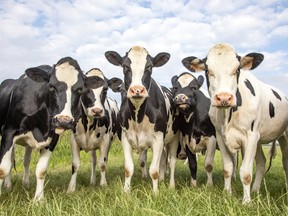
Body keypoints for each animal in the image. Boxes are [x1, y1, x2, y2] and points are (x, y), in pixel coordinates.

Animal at [0, 57, 86, 201]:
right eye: (51, 86)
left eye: (80, 89)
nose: (64, 120)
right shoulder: (9, 132)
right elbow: (3, 168)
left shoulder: (52, 138)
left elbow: (41, 170)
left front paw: (39, 199)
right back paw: (8, 185)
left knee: (25, 160)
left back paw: (24, 183)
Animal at [104, 45, 179, 192]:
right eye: (125, 66)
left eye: (149, 67)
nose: (137, 90)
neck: (138, 117)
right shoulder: (125, 138)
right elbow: (128, 168)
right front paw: (126, 191)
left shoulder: (158, 139)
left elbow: (154, 170)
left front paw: (155, 193)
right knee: (162, 160)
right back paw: (162, 179)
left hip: (174, 137)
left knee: (171, 162)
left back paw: (171, 185)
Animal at [182, 43, 288, 203]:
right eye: (207, 70)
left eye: (237, 69)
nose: (224, 98)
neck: (228, 116)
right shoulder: (220, 136)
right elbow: (228, 167)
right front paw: (227, 193)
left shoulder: (250, 137)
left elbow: (246, 172)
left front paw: (246, 201)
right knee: (261, 163)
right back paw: (256, 190)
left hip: (281, 137)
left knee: (285, 164)